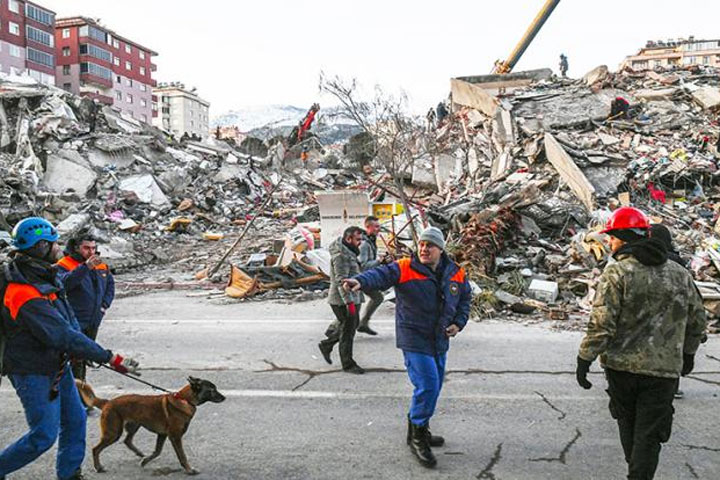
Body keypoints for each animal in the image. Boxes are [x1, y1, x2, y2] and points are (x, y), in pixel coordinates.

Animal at [76, 376, 225, 474]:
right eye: (212, 389)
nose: (224, 397)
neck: (185, 400)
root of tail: (108, 402)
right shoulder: (175, 437)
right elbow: (182, 455)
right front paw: (189, 470)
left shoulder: (162, 435)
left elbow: (157, 451)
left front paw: (145, 460)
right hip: (113, 433)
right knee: (96, 449)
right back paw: (99, 467)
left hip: (134, 426)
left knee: (127, 440)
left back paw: (139, 453)